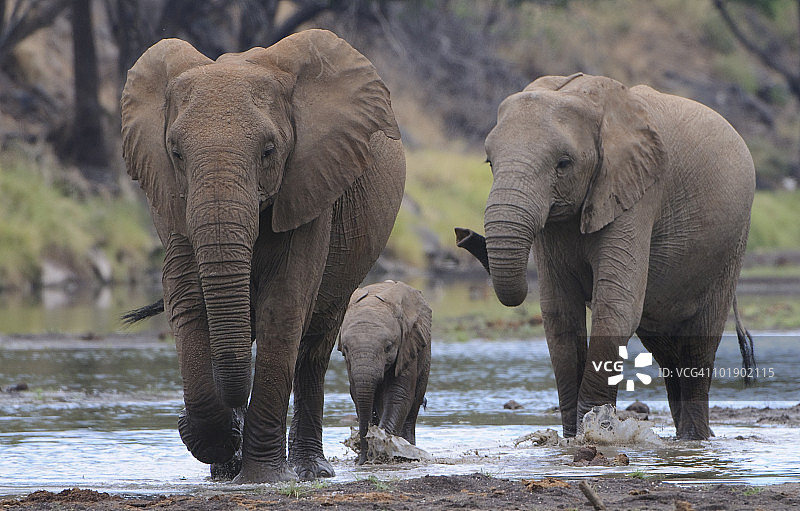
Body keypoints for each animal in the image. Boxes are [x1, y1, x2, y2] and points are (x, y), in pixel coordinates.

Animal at [120, 29, 405, 483]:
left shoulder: (312, 183)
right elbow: (188, 299)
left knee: (314, 347)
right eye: (176, 153)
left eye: (269, 151)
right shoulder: (169, 197)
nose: (179, 420)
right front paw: (218, 442)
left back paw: (308, 471)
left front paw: (262, 477)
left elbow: (284, 304)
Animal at [337, 280, 432, 465]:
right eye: (345, 349)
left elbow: (399, 395)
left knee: (413, 406)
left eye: (388, 347)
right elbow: (357, 394)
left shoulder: (407, 345)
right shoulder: (349, 363)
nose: (362, 461)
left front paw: (381, 446)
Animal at [455, 73, 756, 440]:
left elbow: (615, 307)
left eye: (564, 164)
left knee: (698, 344)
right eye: (489, 163)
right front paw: (573, 436)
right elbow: (559, 314)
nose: (462, 234)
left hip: (731, 245)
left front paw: (595, 428)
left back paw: (694, 439)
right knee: (666, 347)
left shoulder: (637, 193)